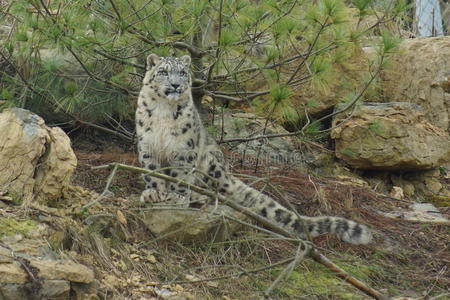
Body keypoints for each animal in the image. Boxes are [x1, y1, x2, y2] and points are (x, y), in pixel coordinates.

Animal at [134, 54, 372, 245]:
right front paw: (154, 193)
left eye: (182, 73)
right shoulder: (148, 145)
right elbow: (152, 173)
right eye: (163, 71)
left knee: (214, 189)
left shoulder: (184, 148)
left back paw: (199, 196)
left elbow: (181, 176)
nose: (175, 85)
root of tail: (226, 170)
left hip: (211, 163)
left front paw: (177, 198)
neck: (163, 111)